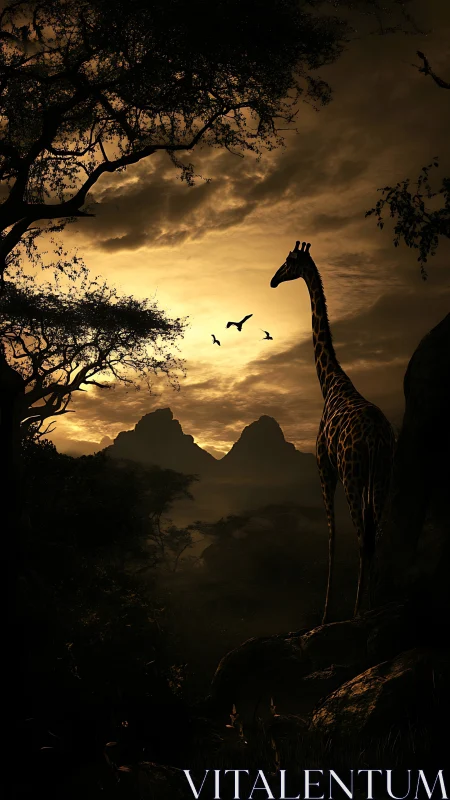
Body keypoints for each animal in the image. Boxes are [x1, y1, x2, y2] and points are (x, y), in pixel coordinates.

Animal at [271, 241, 395, 623]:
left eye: (288, 262)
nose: (272, 280)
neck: (330, 383)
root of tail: (376, 438)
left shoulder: (324, 469)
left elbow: (331, 538)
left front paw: (325, 614)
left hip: (354, 473)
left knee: (362, 536)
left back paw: (355, 611)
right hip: (382, 473)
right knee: (377, 531)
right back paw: (371, 606)